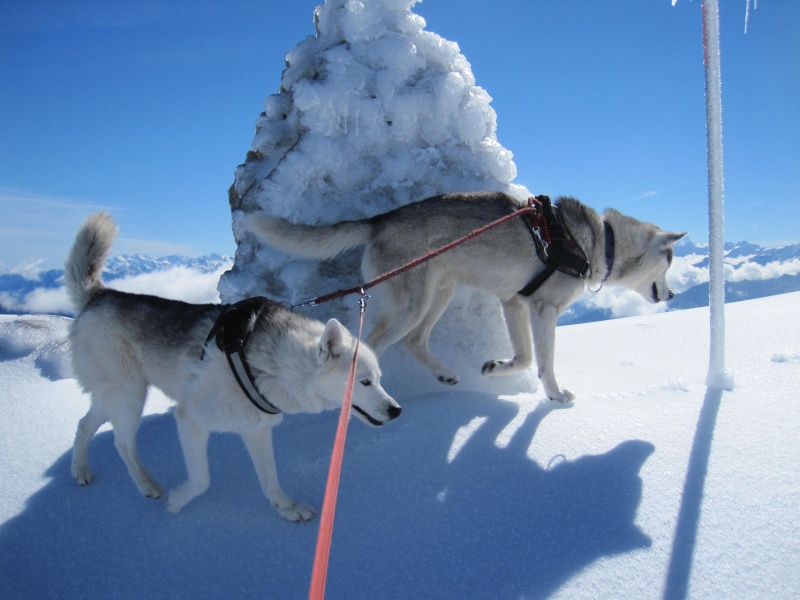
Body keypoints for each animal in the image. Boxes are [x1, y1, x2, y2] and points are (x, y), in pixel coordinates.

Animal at [66, 212, 400, 520]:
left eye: (379, 379)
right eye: (365, 382)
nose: (396, 410)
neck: (271, 366)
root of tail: (99, 296)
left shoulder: (256, 429)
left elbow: (270, 480)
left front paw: (286, 508)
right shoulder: (189, 418)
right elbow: (201, 480)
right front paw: (177, 501)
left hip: (114, 396)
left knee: (84, 424)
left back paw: (81, 470)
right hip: (129, 396)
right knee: (122, 443)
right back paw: (148, 484)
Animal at [247, 191, 684, 404]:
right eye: (670, 260)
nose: (673, 292)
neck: (597, 240)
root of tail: (381, 220)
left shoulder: (514, 303)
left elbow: (525, 357)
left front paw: (495, 367)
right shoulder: (543, 310)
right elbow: (543, 363)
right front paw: (556, 396)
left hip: (440, 292)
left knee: (415, 340)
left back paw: (444, 374)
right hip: (412, 304)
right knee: (371, 348)